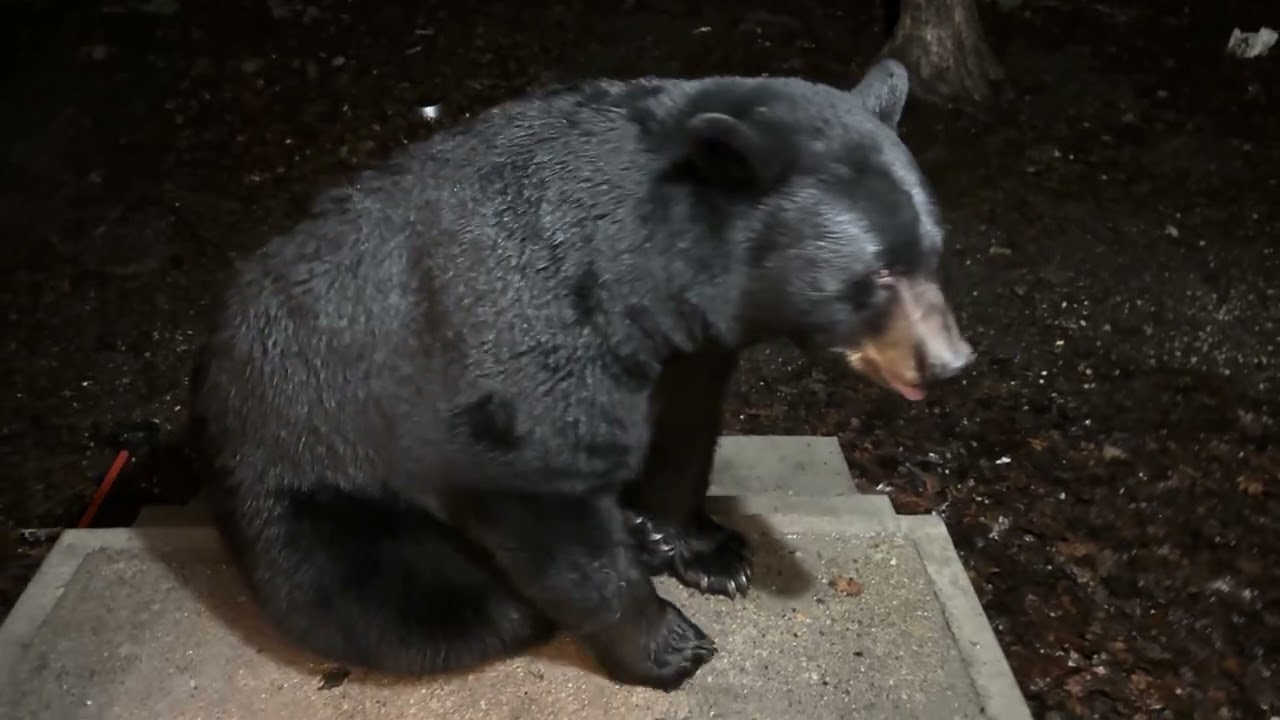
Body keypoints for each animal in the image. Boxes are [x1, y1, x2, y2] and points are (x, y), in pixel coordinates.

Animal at [190, 57, 975, 693]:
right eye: (878, 273)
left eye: (933, 252)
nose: (950, 362)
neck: (644, 273)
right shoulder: (526, 330)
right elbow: (543, 492)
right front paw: (669, 644)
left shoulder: (687, 345)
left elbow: (686, 428)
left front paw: (708, 549)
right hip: (314, 497)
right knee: (421, 602)